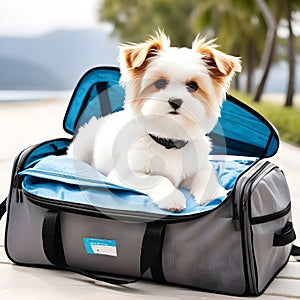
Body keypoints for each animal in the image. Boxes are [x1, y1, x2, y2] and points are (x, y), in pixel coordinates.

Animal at [68, 31, 241, 212]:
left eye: (193, 86)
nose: (176, 101)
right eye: (160, 83)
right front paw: (172, 198)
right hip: (82, 146)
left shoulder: (198, 167)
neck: (169, 139)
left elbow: (205, 177)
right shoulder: (126, 175)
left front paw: (213, 194)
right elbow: (159, 179)